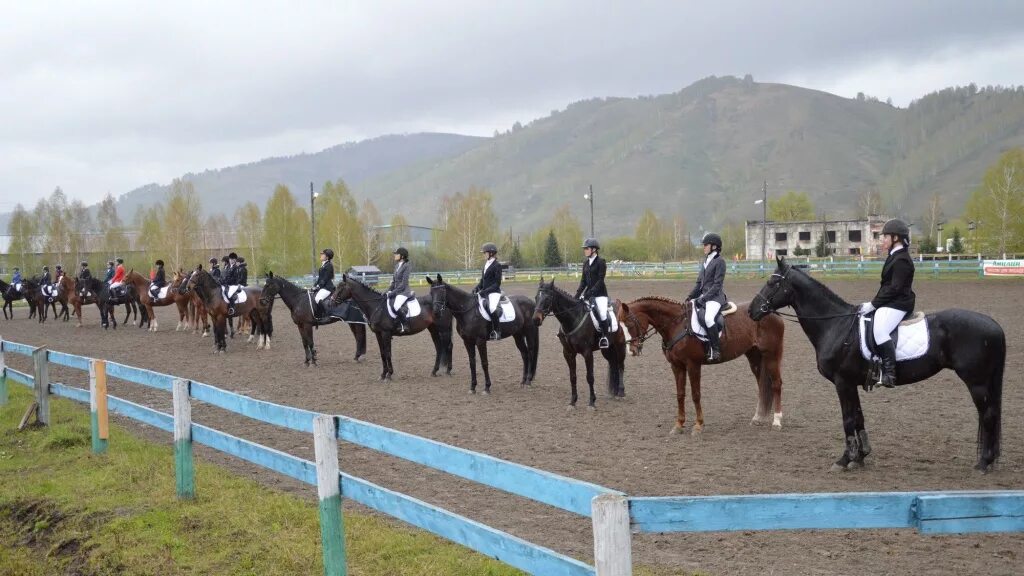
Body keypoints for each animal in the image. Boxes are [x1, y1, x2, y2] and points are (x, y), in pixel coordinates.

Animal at [532, 278, 626, 407]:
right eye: (536, 297)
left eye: (547, 298)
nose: (536, 320)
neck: (573, 318)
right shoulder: (568, 353)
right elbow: (573, 377)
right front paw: (573, 401)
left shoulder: (587, 353)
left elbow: (590, 377)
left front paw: (591, 402)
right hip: (607, 349)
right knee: (613, 364)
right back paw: (614, 392)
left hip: (620, 345)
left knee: (621, 365)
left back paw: (621, 392)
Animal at [614, 295, 782, 434]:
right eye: (620, 326)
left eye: (629, 323)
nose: (631, 351)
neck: (677, 325)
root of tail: (773, 312)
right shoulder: (676, 366)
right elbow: (680, 394)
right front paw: (679, 425)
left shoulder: (693, 365)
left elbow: (696, 395)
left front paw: (698, 425)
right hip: (754, 356)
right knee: (761, 384)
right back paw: (758, 418)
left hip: (772, 355)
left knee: (776, 384)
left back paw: (777, 421)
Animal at [749, 256, 1003, 471]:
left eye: (772, 282)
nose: (752, 311)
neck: (836, 326)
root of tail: (994, 325)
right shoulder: (851, 383)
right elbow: (858, 417)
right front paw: (860, 457)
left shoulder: (842, 382)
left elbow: (848, 419)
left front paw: (844, 460)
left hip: (976, 382)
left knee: (988, 415)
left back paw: (984, 463)